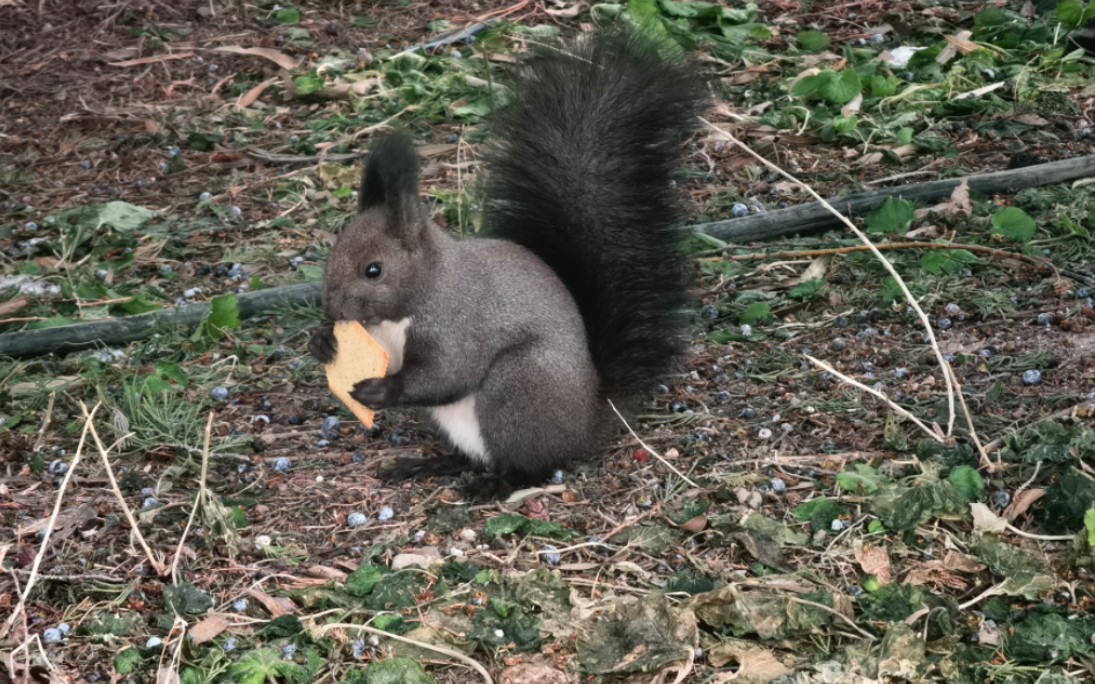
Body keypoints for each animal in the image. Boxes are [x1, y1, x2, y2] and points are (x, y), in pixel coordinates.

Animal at [308, 26, 705, 483]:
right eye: (332, 253)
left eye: (374, 270)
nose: (332, 310)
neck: (413, 300)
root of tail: (586, 425)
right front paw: (323, 343)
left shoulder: (458, 325)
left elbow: (445, 374)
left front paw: (380, 389)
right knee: (476, 456)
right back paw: (427, 464)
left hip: (518, 386)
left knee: (528, 465)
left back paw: (492, 486)